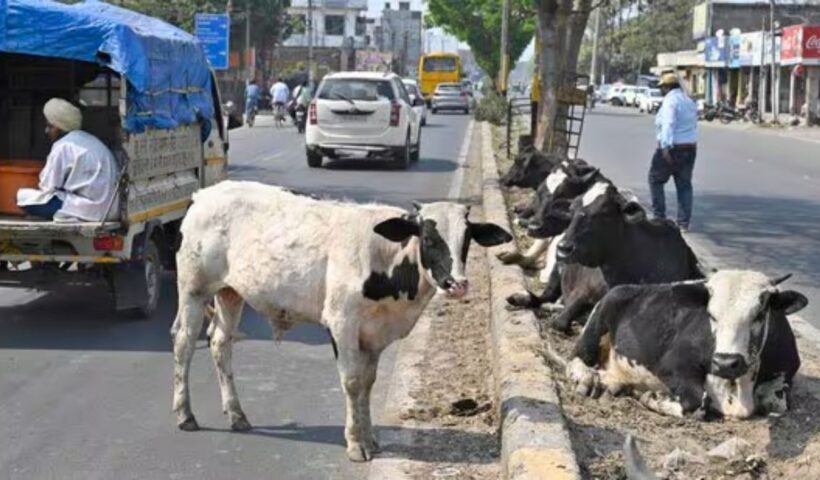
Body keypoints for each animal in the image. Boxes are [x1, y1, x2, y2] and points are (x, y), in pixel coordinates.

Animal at [170, 181, 512, 462]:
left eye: (467, 238)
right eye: (428, 237)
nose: (457, 284)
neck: (383, 258)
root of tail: (204, 194)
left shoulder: (375, 335)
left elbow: (368, 383)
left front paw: (370, 439)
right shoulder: (341, 323)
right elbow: (352, 381)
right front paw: (355, 444)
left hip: (229, 293)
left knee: (220, 343)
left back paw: (237, 414)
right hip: (193, 290)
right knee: (184, 344)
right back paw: (185, 415)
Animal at [564, 270, 807, 419]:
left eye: (760, 313)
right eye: (711, 314)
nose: (725, 363)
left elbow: (777, 404)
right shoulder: (674, 363)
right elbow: (695, 401)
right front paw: (653, 398)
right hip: (599, 318)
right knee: (576, 356)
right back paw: (586, 378)